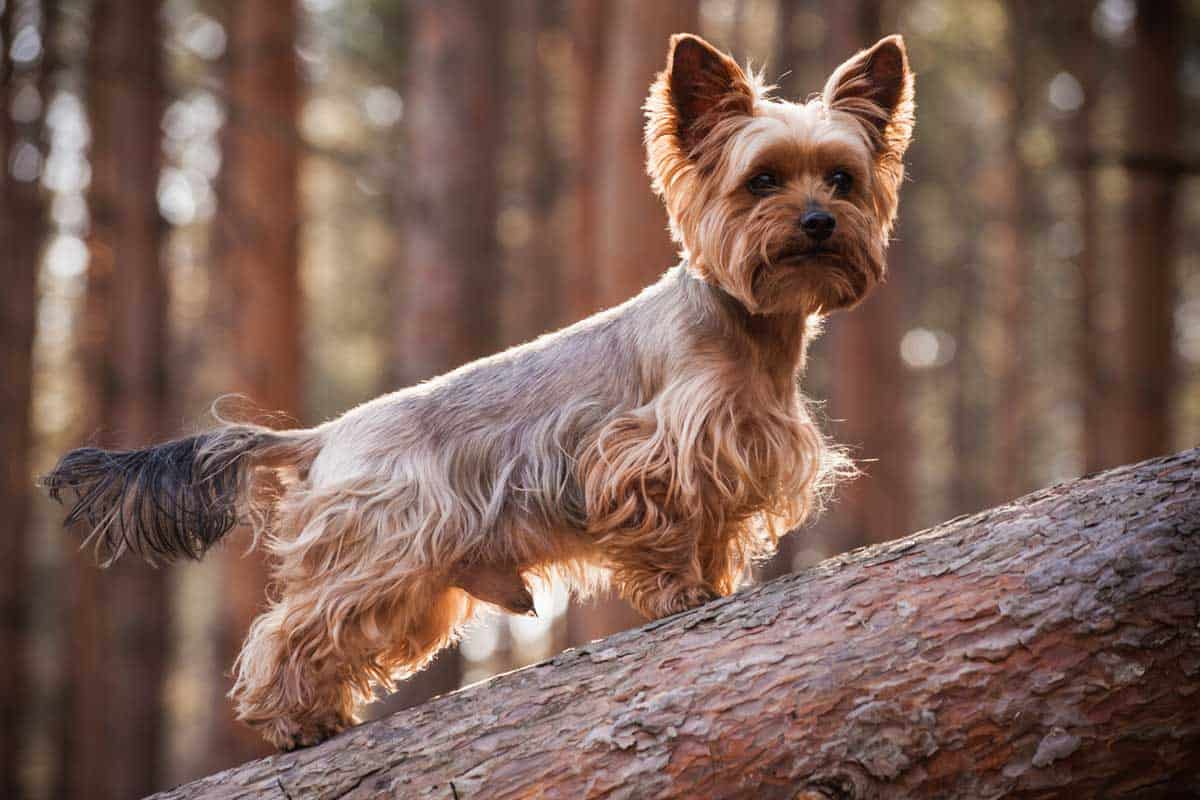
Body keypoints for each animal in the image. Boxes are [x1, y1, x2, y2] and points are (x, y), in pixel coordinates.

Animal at [44, 32, 907, 753]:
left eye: (843, 178)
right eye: (761, 180)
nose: (818, 221)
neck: (754, 325)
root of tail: (322, 435)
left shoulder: (737, 452)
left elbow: (717, 527)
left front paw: (716, 579)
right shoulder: (644, 453)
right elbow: (665, 526)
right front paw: (683, 592)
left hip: (414, 587)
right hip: (385, 549)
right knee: (288, 630)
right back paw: (292, 722)